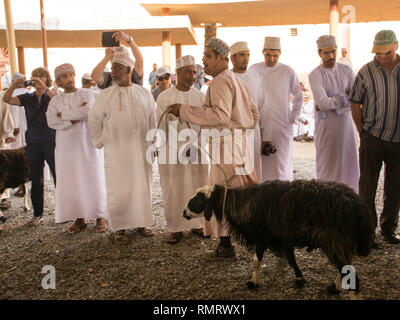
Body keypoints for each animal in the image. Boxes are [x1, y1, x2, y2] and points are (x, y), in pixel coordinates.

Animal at [183, 180, 376, 296]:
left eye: (199, 199)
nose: (183, 212)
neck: (241, 204)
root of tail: (361, 209)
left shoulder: (262, 238)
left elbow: (256, 261)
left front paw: (253, 282)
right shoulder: (284, 238)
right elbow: (291, 260)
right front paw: (299, 279)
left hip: (334, 240)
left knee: (349, 272)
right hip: (339, 241)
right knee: (346, 267)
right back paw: (334, 287)